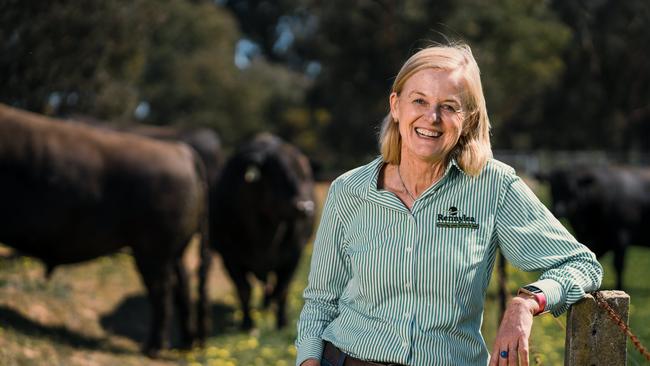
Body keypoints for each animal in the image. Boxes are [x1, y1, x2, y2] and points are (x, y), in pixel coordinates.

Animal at [0, 104, 208, 356]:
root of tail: (183, 153)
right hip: (175, 248)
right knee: (183, 284)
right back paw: (184, 345)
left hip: (153, 249)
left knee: (162, 290)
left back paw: (152, 348)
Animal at [210, 134, 314, 328]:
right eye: (280, 174)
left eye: (306, 176)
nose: (305, 207)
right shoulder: (229, 257)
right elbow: (244, 290)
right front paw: (247, 324)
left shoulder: (293, 256)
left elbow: (282, 290)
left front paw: (282, 322)